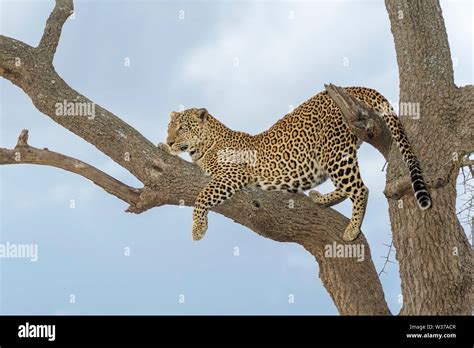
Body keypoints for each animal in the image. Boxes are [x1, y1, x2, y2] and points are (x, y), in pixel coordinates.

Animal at [161, 87, 432, 242]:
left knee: (360, 189)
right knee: (347, 188)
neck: (203, 147)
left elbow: (203, 195)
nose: (170, 139)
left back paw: (352, 229)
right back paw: (319, 198)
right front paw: (163, 147)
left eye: (183, 127)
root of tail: (352, 87)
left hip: (334, 152)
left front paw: (198, 230)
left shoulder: (233, 174)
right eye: (169, 127)